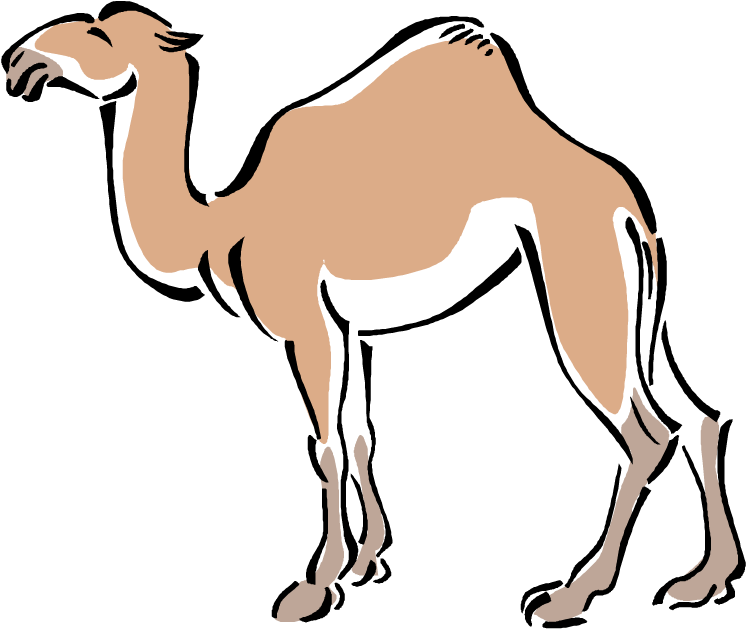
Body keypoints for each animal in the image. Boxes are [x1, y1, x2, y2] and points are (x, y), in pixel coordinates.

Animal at [9, 10, 737, 622]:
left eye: (99, 34)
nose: (28, 55)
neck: (227, 219)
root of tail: (625, 203)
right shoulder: (348, 318)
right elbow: (357, 437)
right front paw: (366, 559)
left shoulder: (300, 315)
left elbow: (325, 449)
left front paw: (312, 584)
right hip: (619, 298)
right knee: (692, 415)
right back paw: (701, 575)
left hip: (576, 291)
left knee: (644, 433)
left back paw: (577, 590)